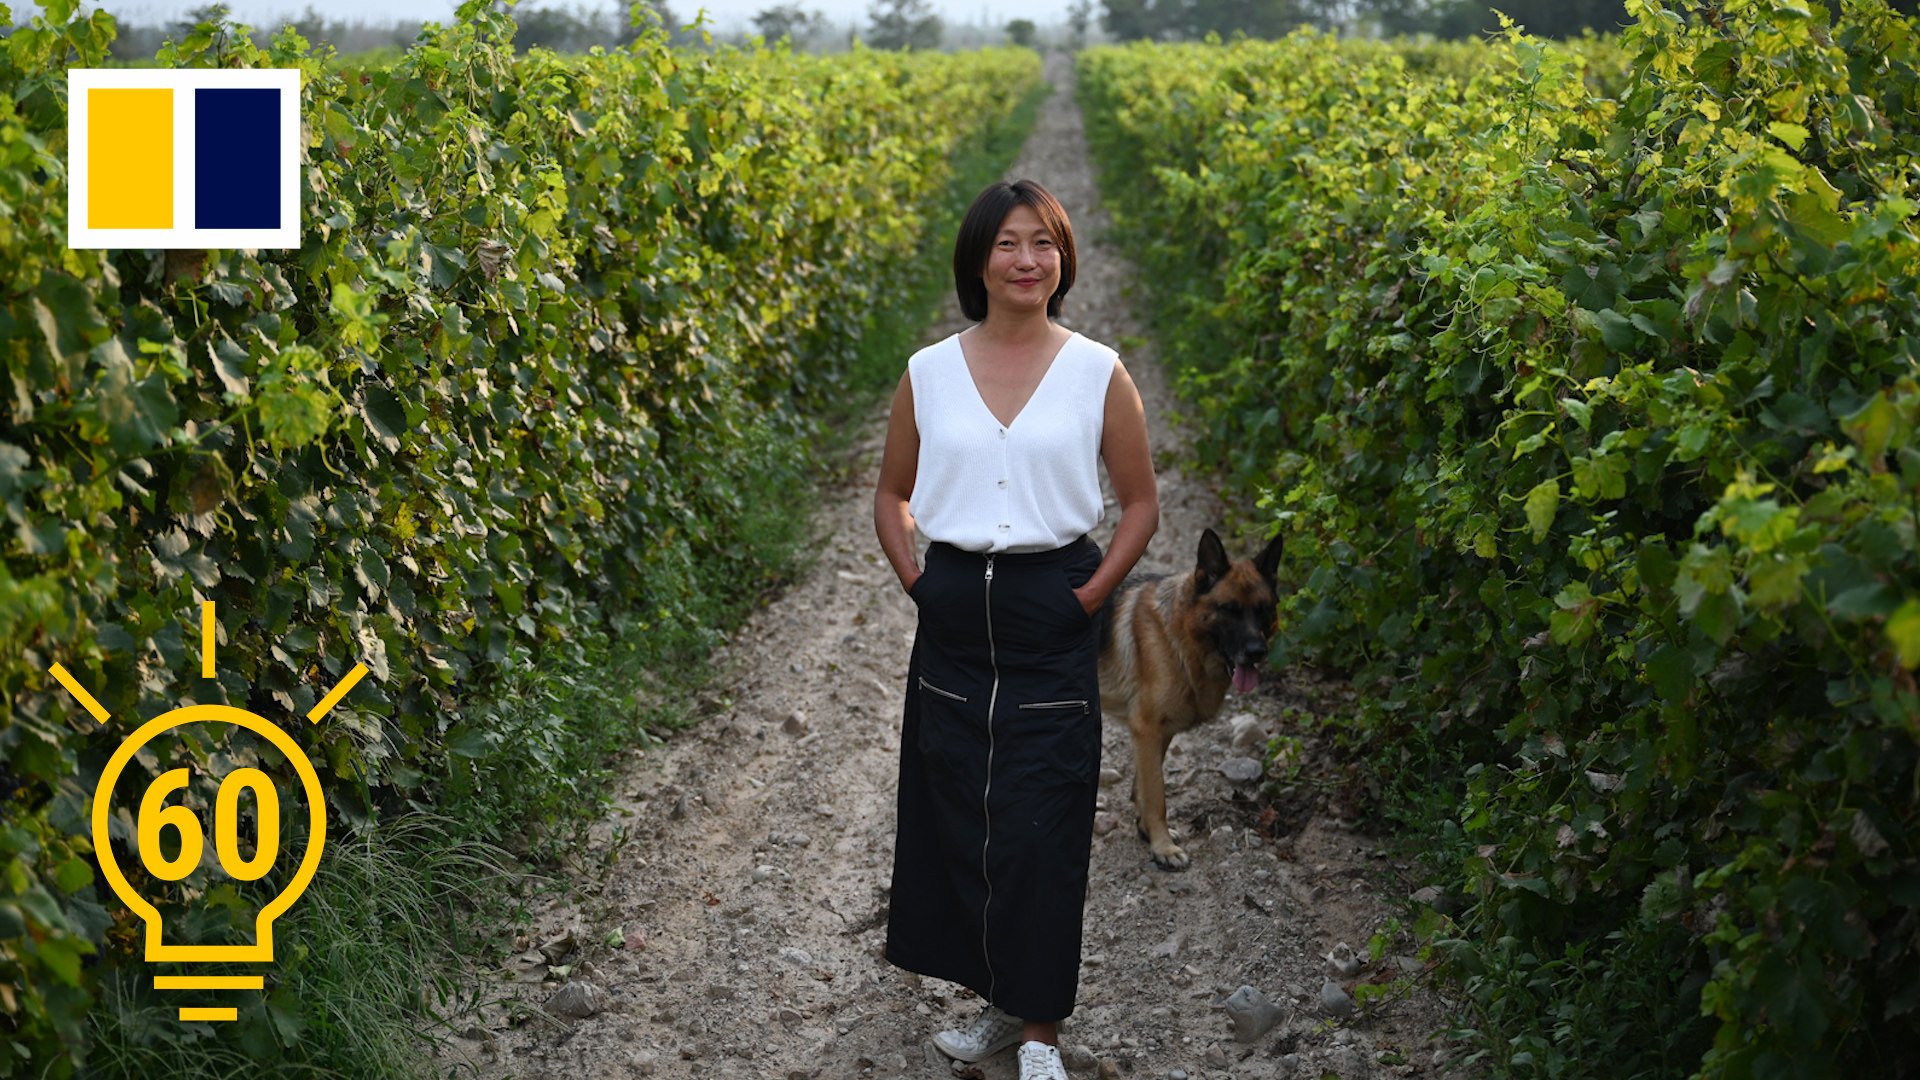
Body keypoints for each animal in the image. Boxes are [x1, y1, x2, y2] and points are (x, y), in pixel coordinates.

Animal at [1090, 526, 1282, 868]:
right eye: (1229, 610)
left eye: (1263, 610)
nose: (1257, 652)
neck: (1179, 635)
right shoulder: (1147, 730)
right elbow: (1156, 795)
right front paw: (1162, 847)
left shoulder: (1160, 733)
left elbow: (1142, 787)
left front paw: (1146, 831)